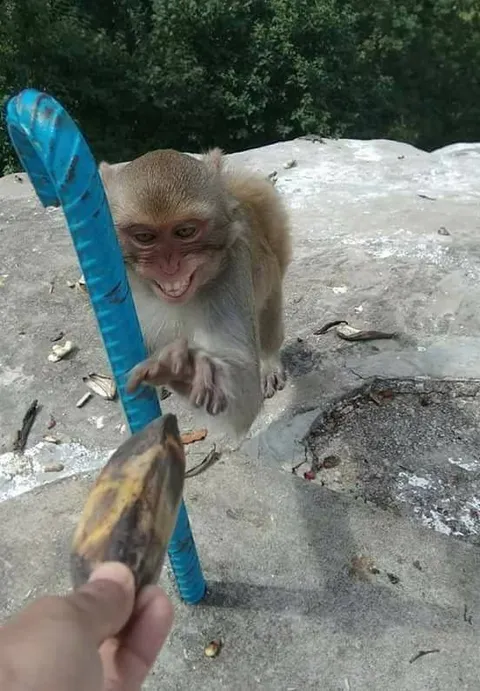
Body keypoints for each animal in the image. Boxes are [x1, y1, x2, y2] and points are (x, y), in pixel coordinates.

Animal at [99, 148, 292, 437]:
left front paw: (187, 374)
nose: (170, 266)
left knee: (268, 317)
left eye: (185, 231)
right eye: (145, 237)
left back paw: (269, 360)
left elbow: (244, 402)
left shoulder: (233, 272)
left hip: (270, 277)